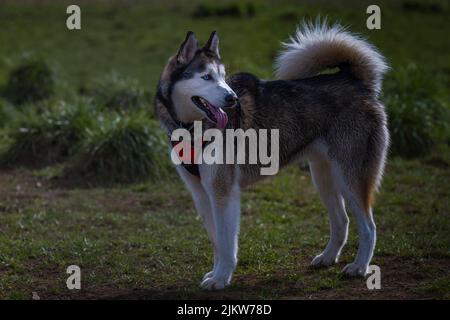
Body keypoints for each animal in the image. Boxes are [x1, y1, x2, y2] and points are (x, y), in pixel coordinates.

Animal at [156, 21, 390, 290]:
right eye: (206, 77)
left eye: (223, 77)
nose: (232, 99)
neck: (191, 128)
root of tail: (353, 80)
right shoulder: (201, 194)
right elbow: (216, 241)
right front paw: (215, 273)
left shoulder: (224, 192)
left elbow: (226, 243)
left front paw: (221, 278)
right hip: (323, 176)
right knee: (342, 221)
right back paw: (328, 257)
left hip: (349, 177)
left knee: (369, 227)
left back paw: (359, 267)